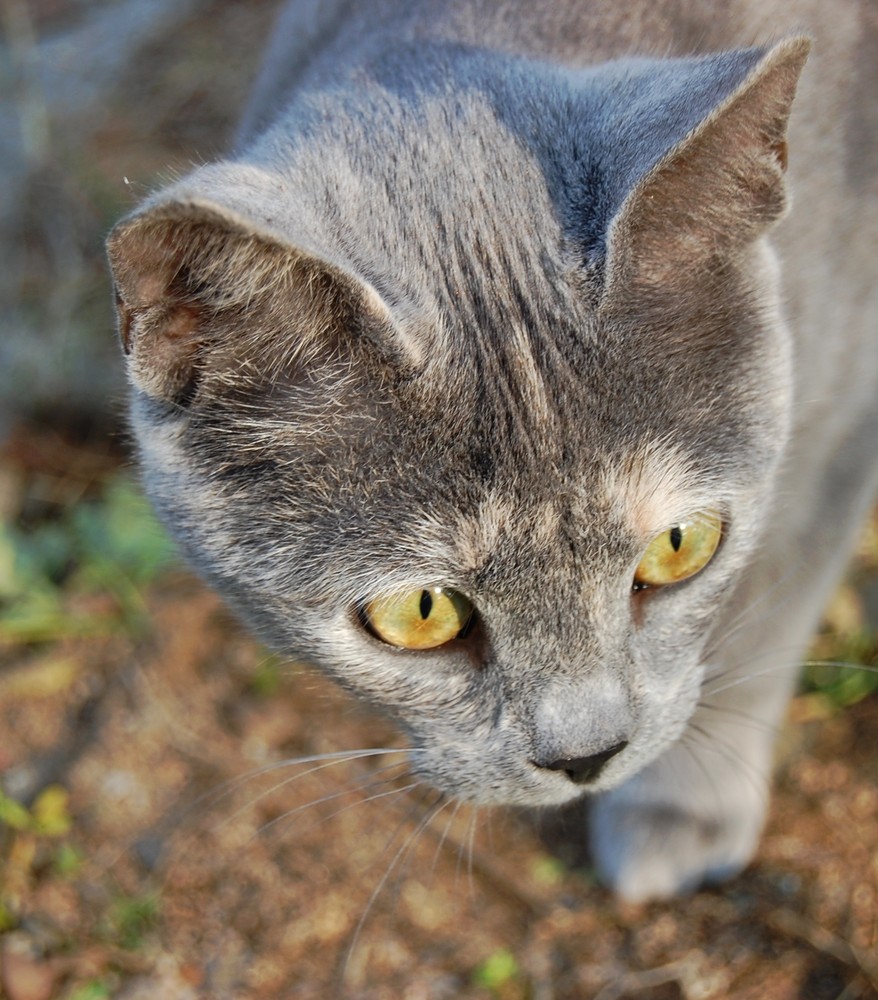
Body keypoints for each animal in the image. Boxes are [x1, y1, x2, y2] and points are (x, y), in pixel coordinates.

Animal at [105, 0, 878, 904]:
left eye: (680, 545)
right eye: (421, 612)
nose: (587, 756)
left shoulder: (842, 419)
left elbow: (769, 614)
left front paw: (683, 806)